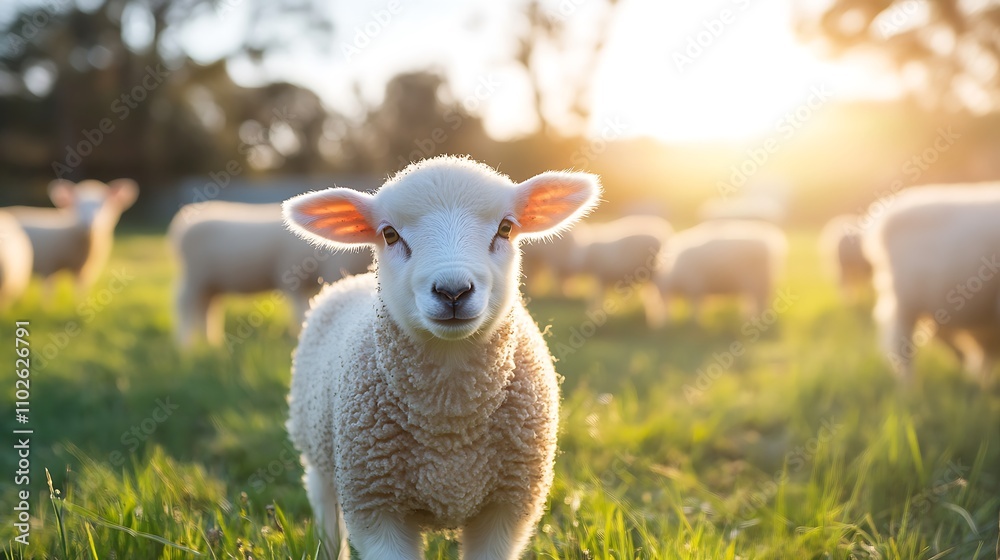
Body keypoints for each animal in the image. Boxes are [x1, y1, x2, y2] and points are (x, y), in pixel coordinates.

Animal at [6, 179, 137, 294]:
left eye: (104, 204)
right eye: (77, 204)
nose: (90, 223)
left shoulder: (83, 272)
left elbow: (81, 292)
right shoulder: (48, 267)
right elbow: (48, 294)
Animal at [168, 201, 372, 348]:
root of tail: (181, 225)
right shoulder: (293, 278)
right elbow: (300, 312)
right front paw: (297, 336)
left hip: (210, 282)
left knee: (207, 307)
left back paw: (211, 342)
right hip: (195, 274)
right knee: (184, 303)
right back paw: (185, 344)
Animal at [283, 156, 600, 560]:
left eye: (506, 228)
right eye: (389, 235)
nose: (453, 291)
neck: (450, 417)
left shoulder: (508, 507)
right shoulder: (376, 505)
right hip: (317, 454)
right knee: (325, 510)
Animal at [654, 220, 787, 323]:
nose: (663, 323)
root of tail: (771, 242)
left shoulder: (695, 287)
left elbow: (695, 307)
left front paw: (695, 322)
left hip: (757, 282)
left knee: (760, 301)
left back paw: (756, 317)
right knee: (755, 301)